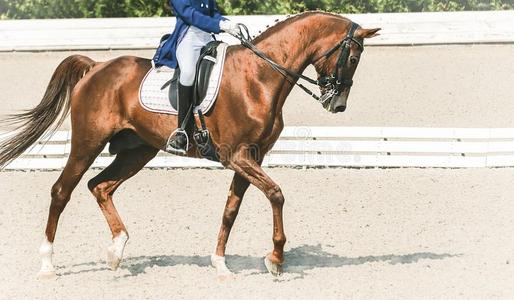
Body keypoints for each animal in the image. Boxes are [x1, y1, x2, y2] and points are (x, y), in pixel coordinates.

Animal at [0, 11, 376, 278]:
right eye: (352, 58)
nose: (337, 104)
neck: (259, 78)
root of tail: (97, 66)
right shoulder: (236, 156)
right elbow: (276, 194)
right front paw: (276, 258)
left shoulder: (252, 158)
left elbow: (231, 209)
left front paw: (221, 263)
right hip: (87, 143)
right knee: (62, 191)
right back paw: (48, 264)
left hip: (138, 150)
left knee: (100, 186)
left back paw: (116, 251)